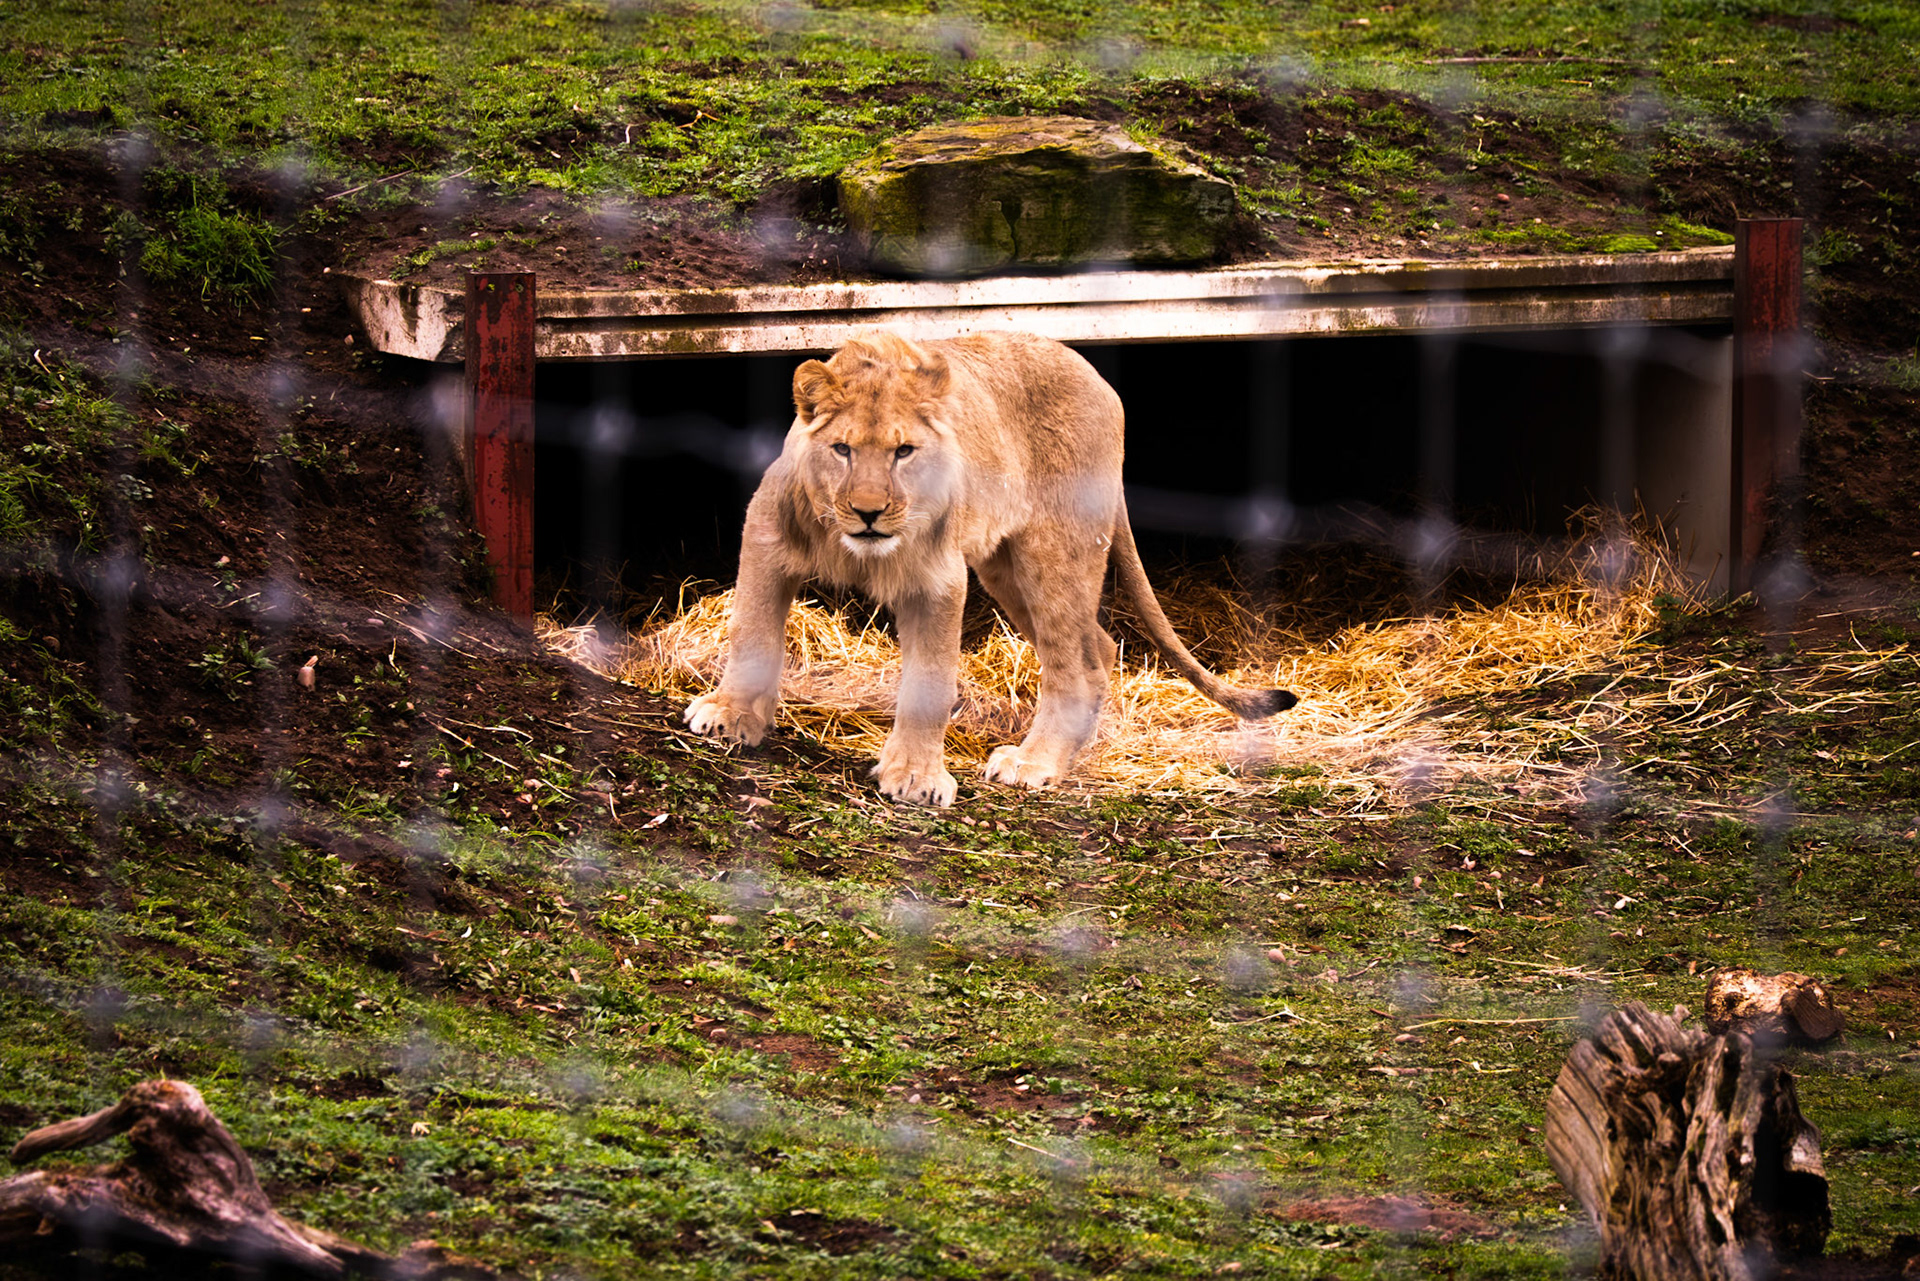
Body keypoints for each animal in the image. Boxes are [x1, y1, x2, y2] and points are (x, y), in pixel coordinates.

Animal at [684, 330, 1297, 806]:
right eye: (842, 449)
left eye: (904, 452)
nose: (868, 512)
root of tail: (1100, 381)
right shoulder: (767, 533)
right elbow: (753, 632)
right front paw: (730, 714)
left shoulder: (938, 580)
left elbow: (930, 681)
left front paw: (915, 776)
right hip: (1007, 571)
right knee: (1098, 648)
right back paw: (1069, 753)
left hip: (1054, 555)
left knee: (1077, 667)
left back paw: (1035, 762)